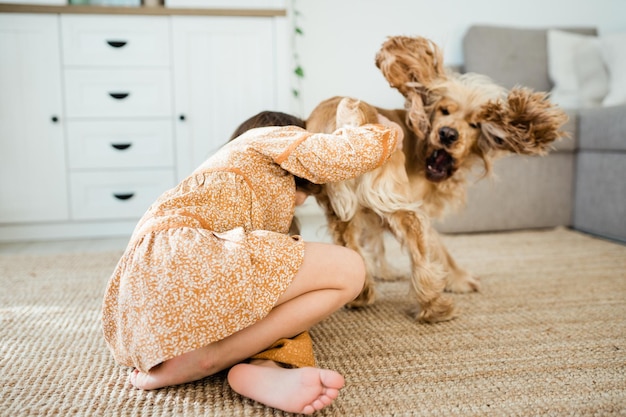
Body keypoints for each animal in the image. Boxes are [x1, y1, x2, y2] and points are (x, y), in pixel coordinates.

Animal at [304, 35, 568, 322]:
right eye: (444, 111)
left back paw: (362, 294)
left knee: (349, 245)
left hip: (341, 207)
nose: (448, 134)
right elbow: (438, 245)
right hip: (401, 206)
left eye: (475, 124)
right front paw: (460, 279)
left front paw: (385, 272)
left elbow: (375, 240)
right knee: (417, 249)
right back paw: (435, 306)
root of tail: (352, 121)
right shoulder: (413, 204)